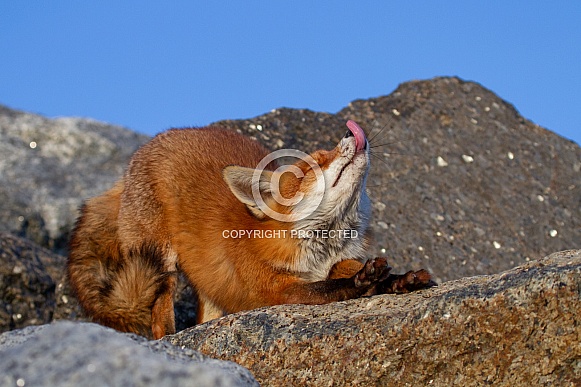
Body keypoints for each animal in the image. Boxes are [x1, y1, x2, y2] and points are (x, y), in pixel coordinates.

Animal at [67, 120, 430, 340]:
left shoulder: (338, 260)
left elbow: (356, 272)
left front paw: (399, 280)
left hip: (208, 285)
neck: (319, 249)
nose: (350, 132)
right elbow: (328, 288)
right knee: (158, 313)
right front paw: (361, 283)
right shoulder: (274, 290)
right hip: (160, 261)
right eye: (310, 164)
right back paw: (169, 338)